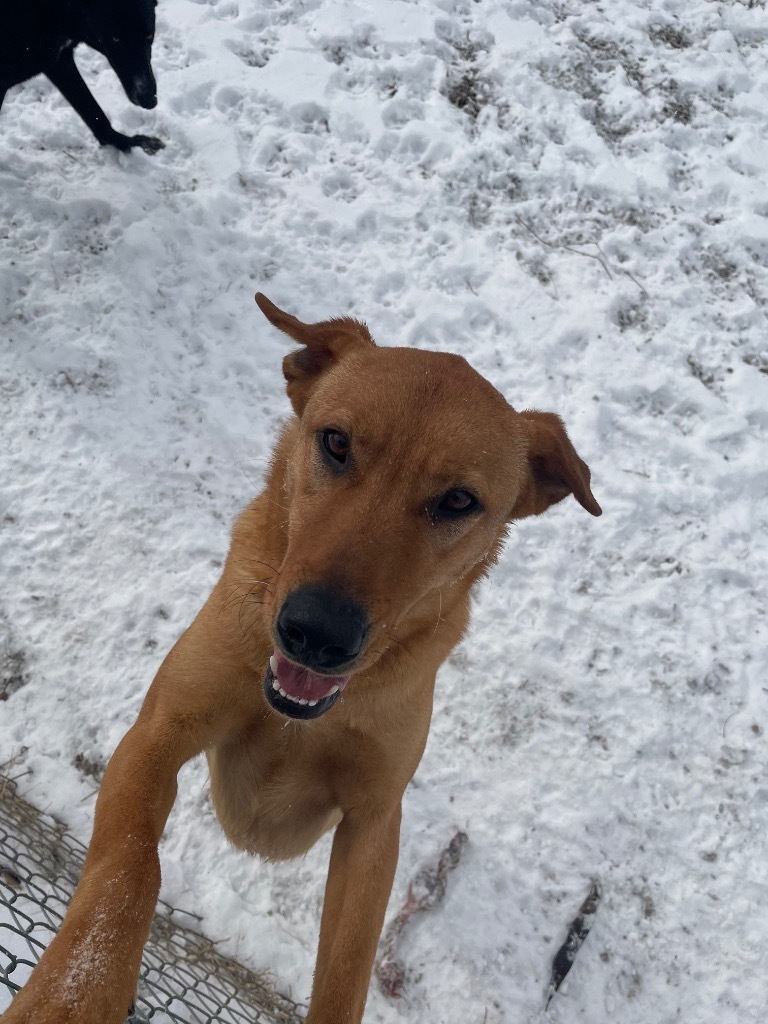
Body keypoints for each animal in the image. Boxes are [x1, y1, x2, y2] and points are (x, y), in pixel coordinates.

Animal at [0, 0, 163, 153]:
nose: (149, 100)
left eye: (149, 35)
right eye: (115, 39)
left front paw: (129, 143)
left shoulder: (59, 60)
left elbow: (94, 112)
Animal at [3, 292, 606, 1019]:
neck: (300, 716)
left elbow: (347, 970)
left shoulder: (374, 823)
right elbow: (130, 866)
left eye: (459, 500)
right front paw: (74, 994)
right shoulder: (156, 735)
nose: (317, 632)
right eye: (336, 443)